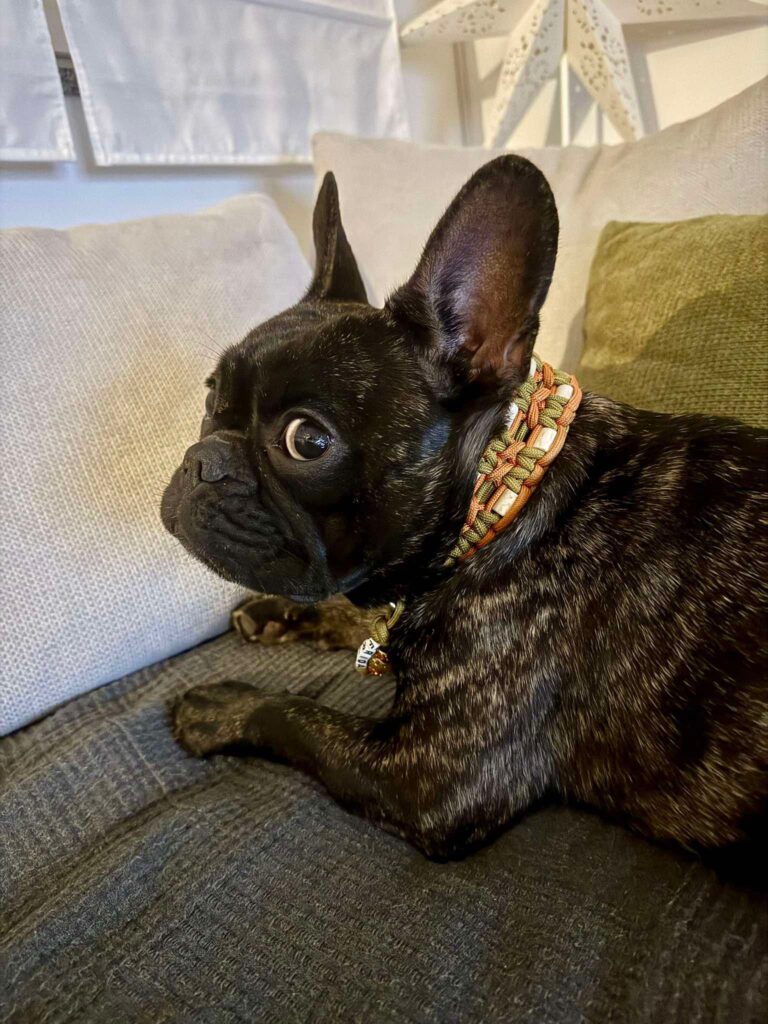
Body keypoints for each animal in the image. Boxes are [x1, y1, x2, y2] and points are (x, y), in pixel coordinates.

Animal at [162, 157, 767, 863]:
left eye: (306, 441)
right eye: (211, 397)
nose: (201, 461)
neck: (501, 503)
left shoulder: (426, 775)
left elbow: (296, 715)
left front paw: (221, 707)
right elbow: (354, 614)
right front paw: (280, 614)